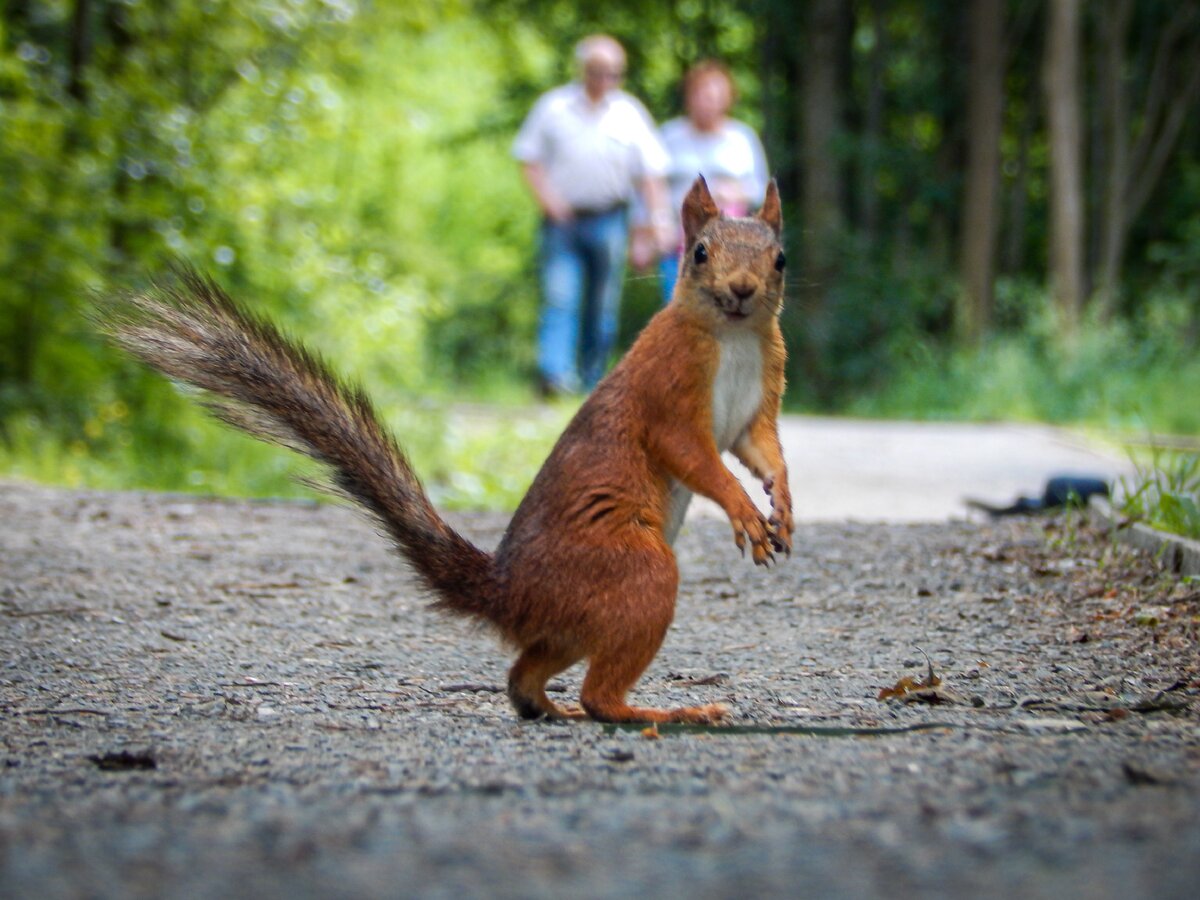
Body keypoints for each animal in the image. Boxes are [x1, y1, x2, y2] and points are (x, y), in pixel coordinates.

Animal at [103, 176, 792, 724]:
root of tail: (509, 592)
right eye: (700, 253)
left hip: (577, 621)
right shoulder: (668, 392)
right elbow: (693, 456)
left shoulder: (757, 404)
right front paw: (742, 510)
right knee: (599, 694)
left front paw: (780, 503)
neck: (730, 339)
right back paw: (665, 712)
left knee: (523, 676)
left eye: (780, 258)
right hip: (636, 574)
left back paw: (552, 706)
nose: (741, 289)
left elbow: (762, 450)